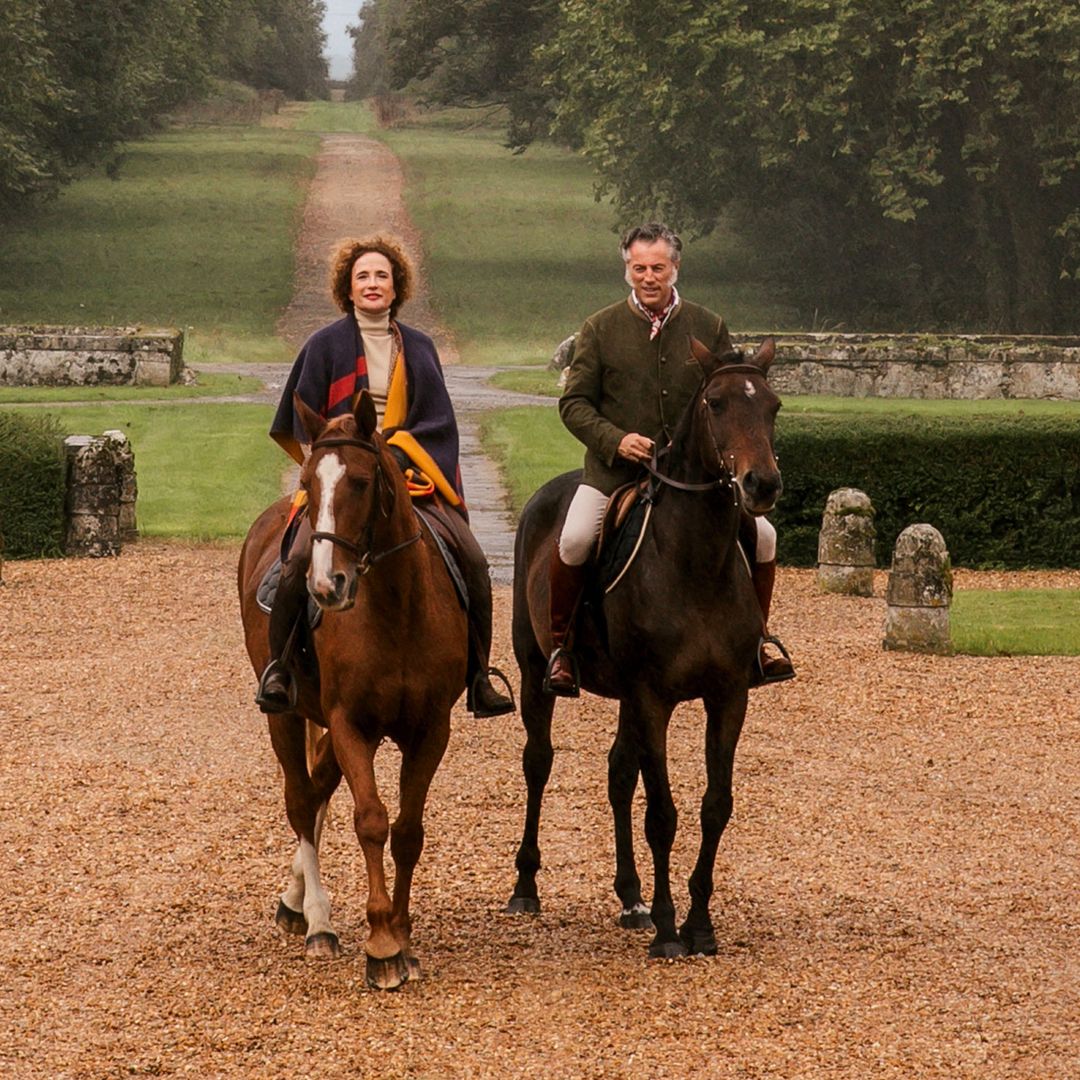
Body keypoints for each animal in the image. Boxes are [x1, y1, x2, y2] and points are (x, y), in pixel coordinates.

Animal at [238, 393, 466, 989]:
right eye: (308, 482)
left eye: (361, 483)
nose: (326, 586)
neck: (396, 608)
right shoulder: (349, 724)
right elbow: (370, 820)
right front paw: (382, 943)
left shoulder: (431, 729)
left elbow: (408, 830)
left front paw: (403, 937)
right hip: (284, 713)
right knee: (301, 798)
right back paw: (318, 921)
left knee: (318, 790)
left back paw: (297, 902)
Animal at [509, 341, 781, 959]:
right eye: (715, 402)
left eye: (773, 406)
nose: (761, 485)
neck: (695, 563)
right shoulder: (653, 697)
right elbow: (662, 813)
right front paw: (667, 928)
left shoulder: (728, 697)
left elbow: (715, 805)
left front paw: (699, 923)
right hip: (537, 670)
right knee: (538, 762)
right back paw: (526, 887)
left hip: (626, 699)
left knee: (618, 773)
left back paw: (629, 896)